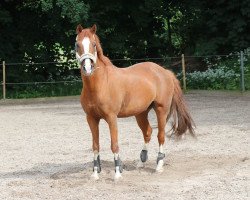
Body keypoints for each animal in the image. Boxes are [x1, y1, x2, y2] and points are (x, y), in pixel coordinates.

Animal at [75, 24, 195, 180]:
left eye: (94, 44)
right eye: (77, 44)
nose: (87, 68)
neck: (99, 85)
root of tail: (165, 72)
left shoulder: (111, 118)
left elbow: (114, 145)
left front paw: (117, 173)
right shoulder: (91, 119)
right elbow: (95, 146)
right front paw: (95, 173)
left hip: (161, 110)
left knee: (160, 136)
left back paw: (159, 165)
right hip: (141, 113)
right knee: (148, 132)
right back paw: (141, 162)